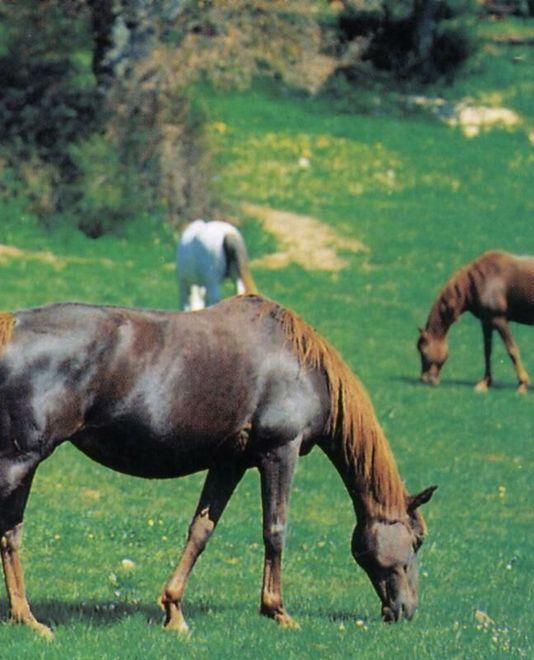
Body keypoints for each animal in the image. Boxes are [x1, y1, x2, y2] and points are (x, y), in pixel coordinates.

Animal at [0, 295, 436, 638]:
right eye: (416, 540)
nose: (406, 610)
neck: (300, 364)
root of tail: (11, 327)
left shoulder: (230, 463)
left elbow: (201, 531)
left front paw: (174, 611)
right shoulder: (280, 451)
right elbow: (275, 531)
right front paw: (277, 610)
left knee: (11, 533)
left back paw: (26, 618)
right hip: (19, 462)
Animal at [417, 251, 534, 393]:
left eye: (422, 351)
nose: (425, 379)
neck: (480, 281)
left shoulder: (500, 320)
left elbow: (512, 350)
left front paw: (522, 384)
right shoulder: (486, 322)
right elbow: (487, 351)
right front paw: (484, 383)